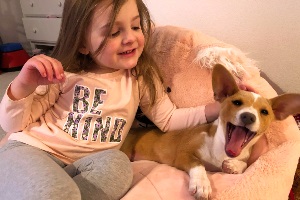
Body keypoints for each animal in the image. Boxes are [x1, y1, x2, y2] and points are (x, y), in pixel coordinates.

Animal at [120, 64, 300, 198]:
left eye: (264, 112)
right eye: (237, 102)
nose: (248, 116)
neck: (220, 149)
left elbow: (244, 164)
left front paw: (234, 165)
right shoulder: (183, 154)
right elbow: (198, 164)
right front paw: (201, 184)